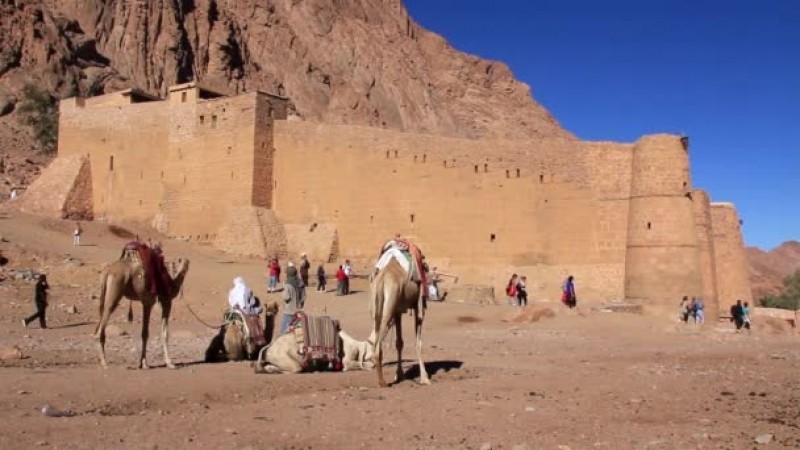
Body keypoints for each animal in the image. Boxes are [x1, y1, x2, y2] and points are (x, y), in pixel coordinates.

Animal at [370, 256, 432, 386]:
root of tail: (382, 279)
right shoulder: (417, 305)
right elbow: (418, 342)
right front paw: (424, 378)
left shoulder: (397, 311)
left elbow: (399, 342)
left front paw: (399, 375)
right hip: (389, 305)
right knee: (378, 345)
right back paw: (382, 382)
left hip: (377, 306)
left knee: (376, 333)